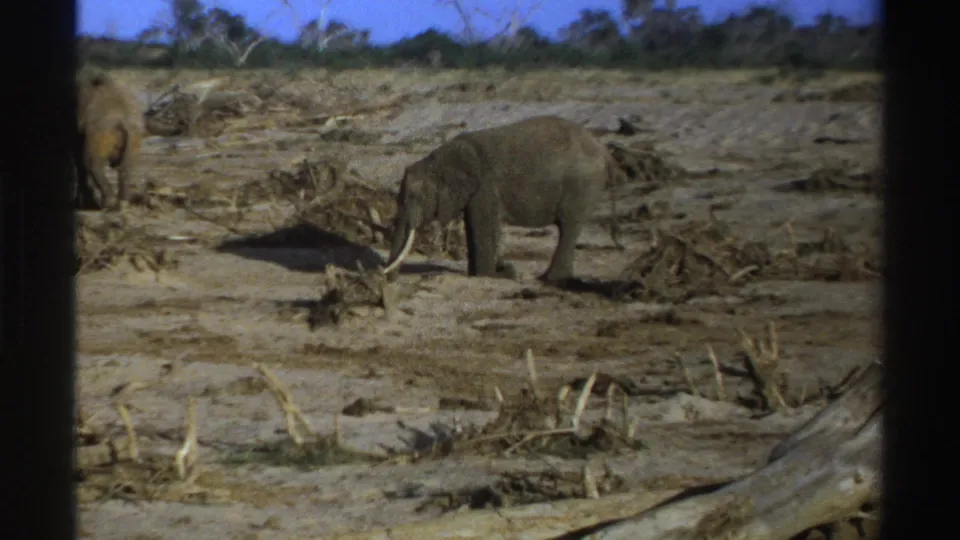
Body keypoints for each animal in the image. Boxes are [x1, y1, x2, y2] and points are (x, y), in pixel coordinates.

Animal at [74, 68, 144, 210]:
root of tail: (122, 121)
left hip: (101, 133)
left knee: (92, 164)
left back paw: (106, 204)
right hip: (134, 134)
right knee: (126, 168)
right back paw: (121, 203)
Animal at [381, 115, 625, 284]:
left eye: (415, 196)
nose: (389, 279)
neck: (438, 158)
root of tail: (605, 152)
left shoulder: (485, 186)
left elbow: (484, 225)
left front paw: (493, 275)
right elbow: (475, 226)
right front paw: (486, 273)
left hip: (582, 186)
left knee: (569, 227)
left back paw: (549, 279)